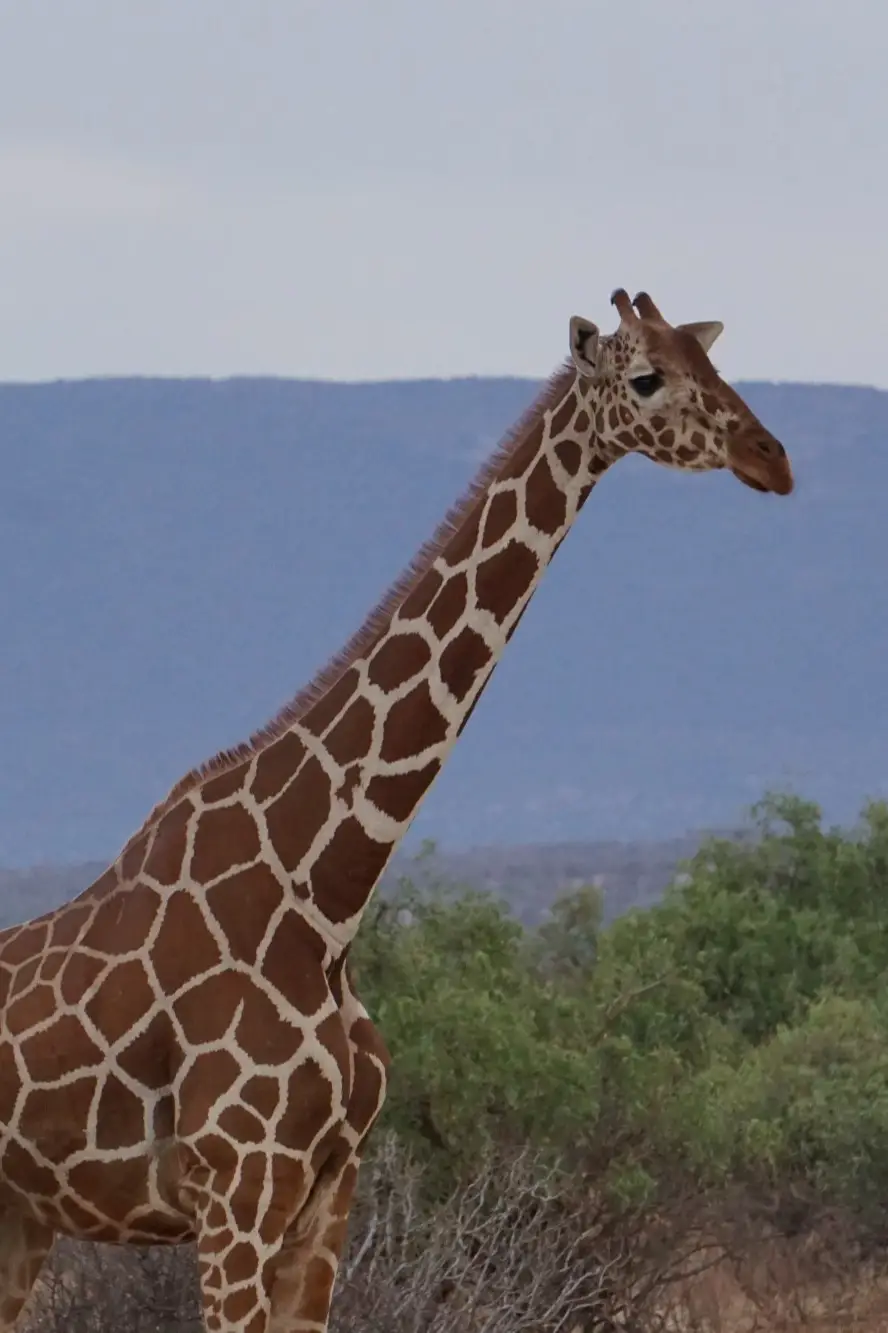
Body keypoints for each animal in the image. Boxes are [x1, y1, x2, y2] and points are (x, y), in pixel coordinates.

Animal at [0, 288, 793, 1332]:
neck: (324, 898)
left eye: (709, 364)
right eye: (646, 377)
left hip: (21, 1216)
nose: (771, 457)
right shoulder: (235, 1192)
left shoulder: (327, 1192)